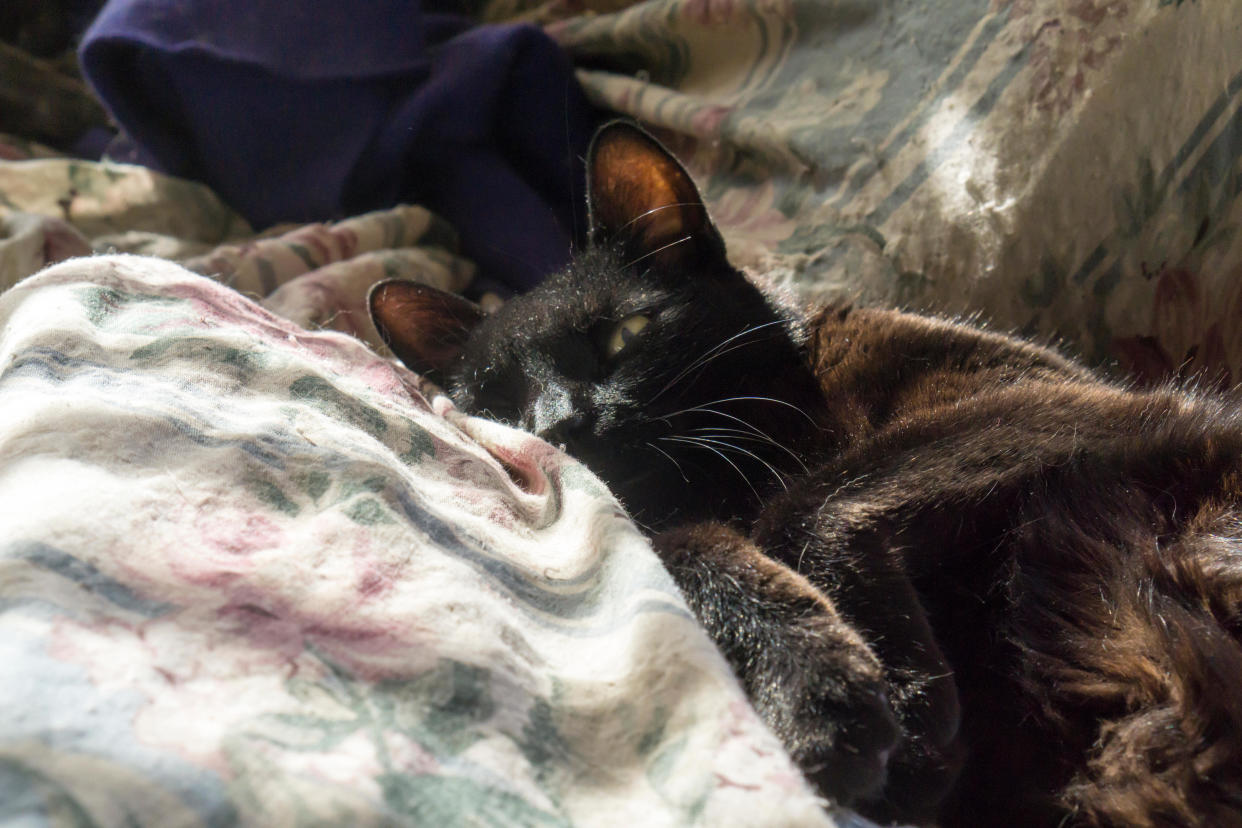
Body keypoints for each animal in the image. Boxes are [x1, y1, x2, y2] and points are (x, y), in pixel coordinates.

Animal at [372, 122, 1242, 828]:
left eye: (625, 334)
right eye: (500, 404)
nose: (561, 425)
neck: (743, 472)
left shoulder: (1071, 406)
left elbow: (815, 497)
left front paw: (898, 707)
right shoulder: (654, 525)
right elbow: (689, 551)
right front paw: (820, 689)